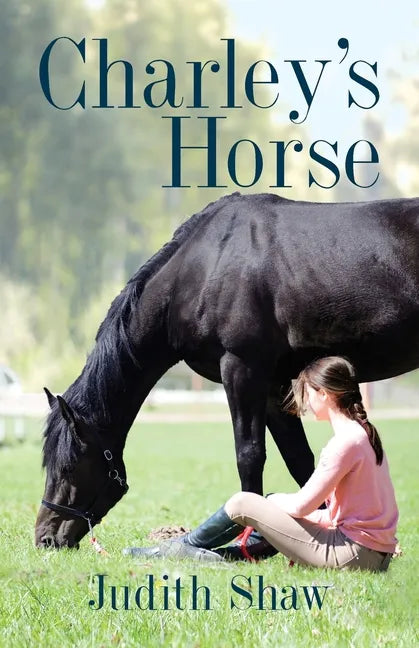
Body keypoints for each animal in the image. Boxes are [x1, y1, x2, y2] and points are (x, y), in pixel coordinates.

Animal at [35, 191, 419, 548]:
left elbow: (249, 455)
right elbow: (300, 461)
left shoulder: (241, 368)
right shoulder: (273, 384)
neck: (202, 268)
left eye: (69, 467)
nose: (45, 539)